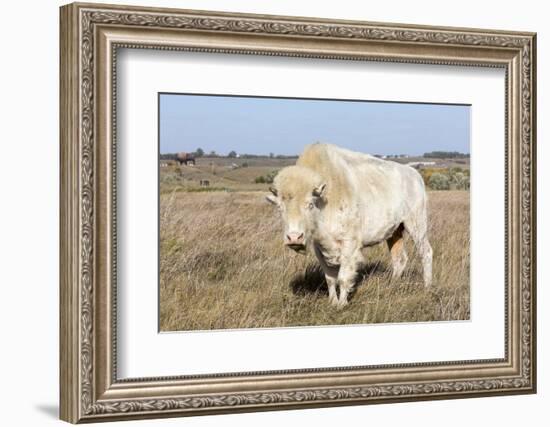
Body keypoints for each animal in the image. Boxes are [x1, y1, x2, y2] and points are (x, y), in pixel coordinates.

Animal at [268, 143, 436, 308]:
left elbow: (343, 277)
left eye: (309, 204)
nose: (294, 238)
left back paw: (427, 287)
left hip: (416, 224)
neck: (325, 199)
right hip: (395, 231)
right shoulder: (319, 246)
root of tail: (415, 175)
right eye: (280, 207)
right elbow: (330, 278)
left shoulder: (349, 244)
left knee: (426, 252)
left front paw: (342, 304)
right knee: (399, 258)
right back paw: (391, 286)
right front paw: (333, 302)